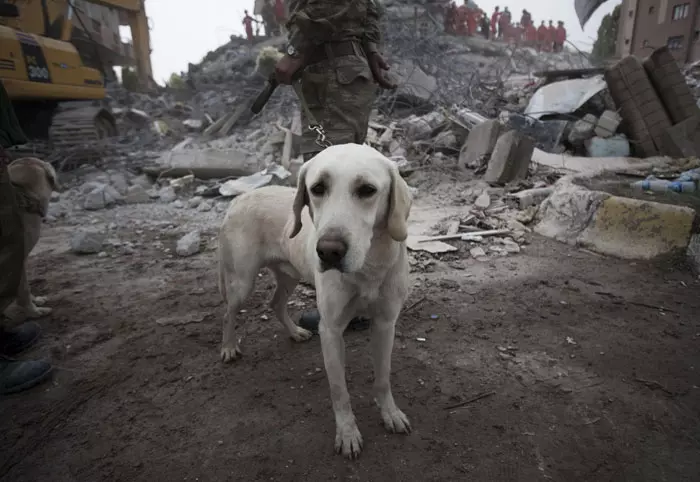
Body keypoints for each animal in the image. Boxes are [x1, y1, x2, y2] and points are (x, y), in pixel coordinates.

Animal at [219, 142, 412, 456]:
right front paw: (347, 433)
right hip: (242, 282)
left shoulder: (385, 324)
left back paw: (295, 332)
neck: (367, 267)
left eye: (367, 190)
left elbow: (383, 378)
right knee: (228, 312)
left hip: (289, 275)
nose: (328, 251)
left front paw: (390, 414)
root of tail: (240, 198)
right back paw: (228, 347)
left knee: (275, 303)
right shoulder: (331, 330)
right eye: (318, 188)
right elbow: (339, 390)